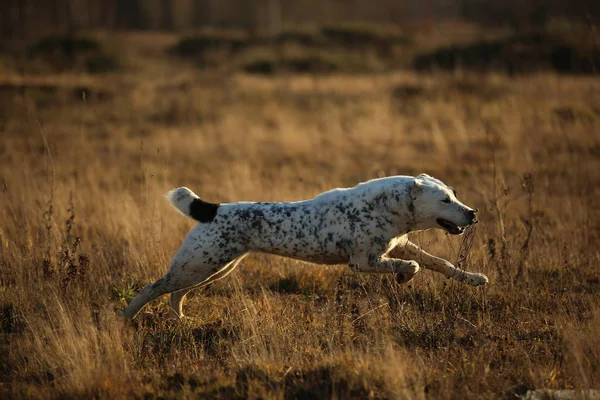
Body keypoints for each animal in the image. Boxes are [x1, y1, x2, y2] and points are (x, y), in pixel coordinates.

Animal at [122, 173, 488, 320]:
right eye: (444, 200)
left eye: (454, 194)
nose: (473, 213)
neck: (390, 207)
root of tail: (212, 209)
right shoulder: (363, 261)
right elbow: (412, 267)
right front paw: (404, 277)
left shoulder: (399, 247)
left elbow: (440, 263)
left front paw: (473, 278)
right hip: (198, 266)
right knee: (153, 287)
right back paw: (126, 317)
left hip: (213, 268)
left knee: (175, 294)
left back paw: (180, 320)